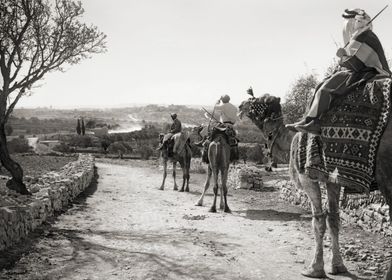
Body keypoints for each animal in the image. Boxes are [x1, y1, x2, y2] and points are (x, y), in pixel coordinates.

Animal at [237, 91, 392, 278]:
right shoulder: (333, 178)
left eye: (258, 100)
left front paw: (314, 268)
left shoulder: (307, 176)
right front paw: (338, 266)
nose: (240, 105)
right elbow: (333, 218)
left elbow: (318, 219)